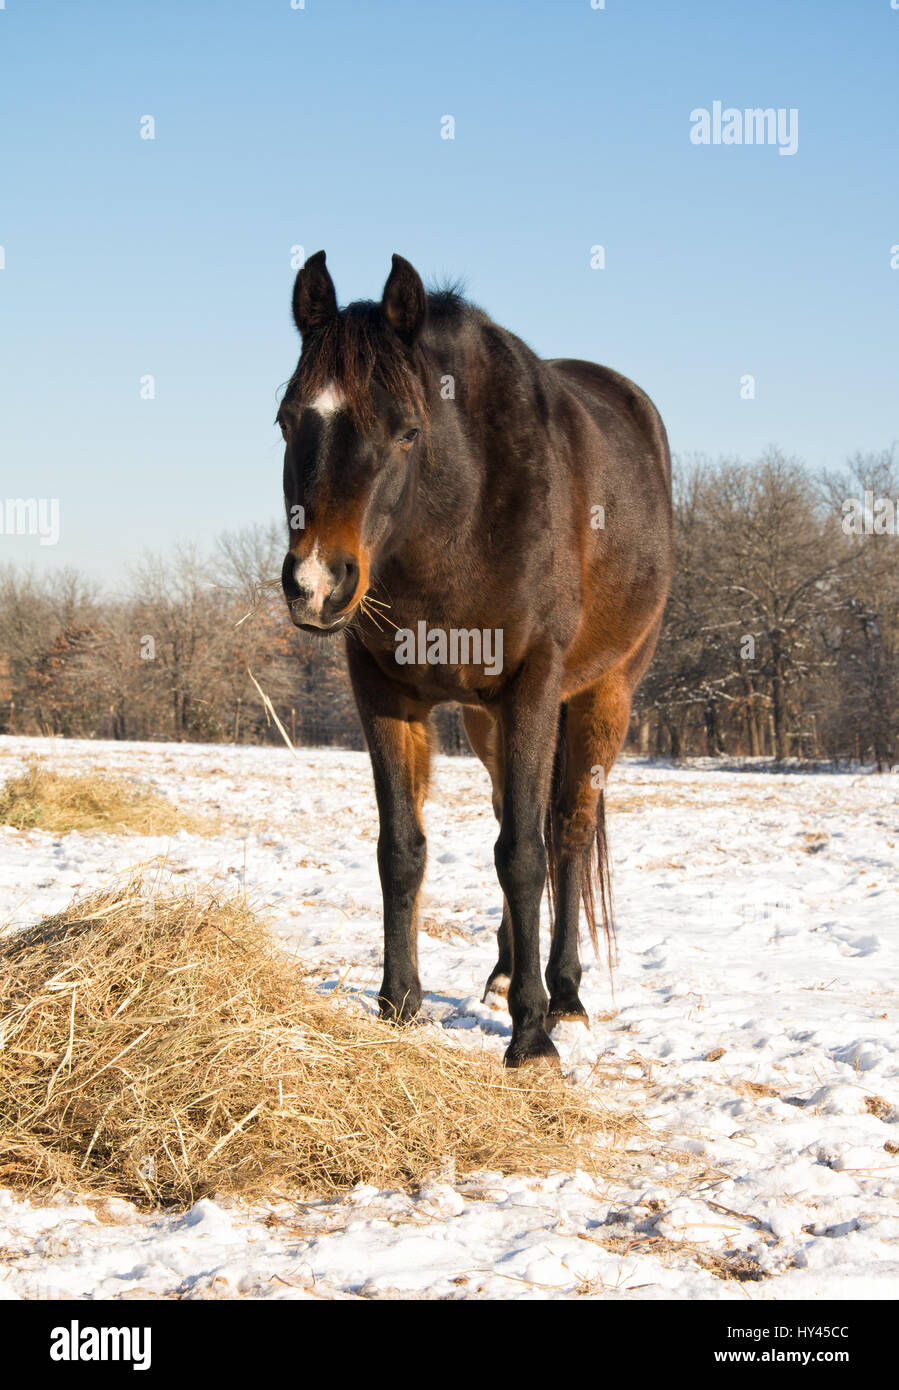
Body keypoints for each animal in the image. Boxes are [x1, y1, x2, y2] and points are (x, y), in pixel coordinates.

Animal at [277, 255, 672, 1067]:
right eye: (287, 420)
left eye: (406, 430)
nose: (315, 584)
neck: (461, 515)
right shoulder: (384, 691)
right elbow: (402, 848)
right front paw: (398, 1004)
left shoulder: (532, 686)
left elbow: (524, 852)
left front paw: (531, 1037)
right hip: (489, 723)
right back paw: (505, 971)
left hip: (601, 697)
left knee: (566, 834)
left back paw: (564, 995)